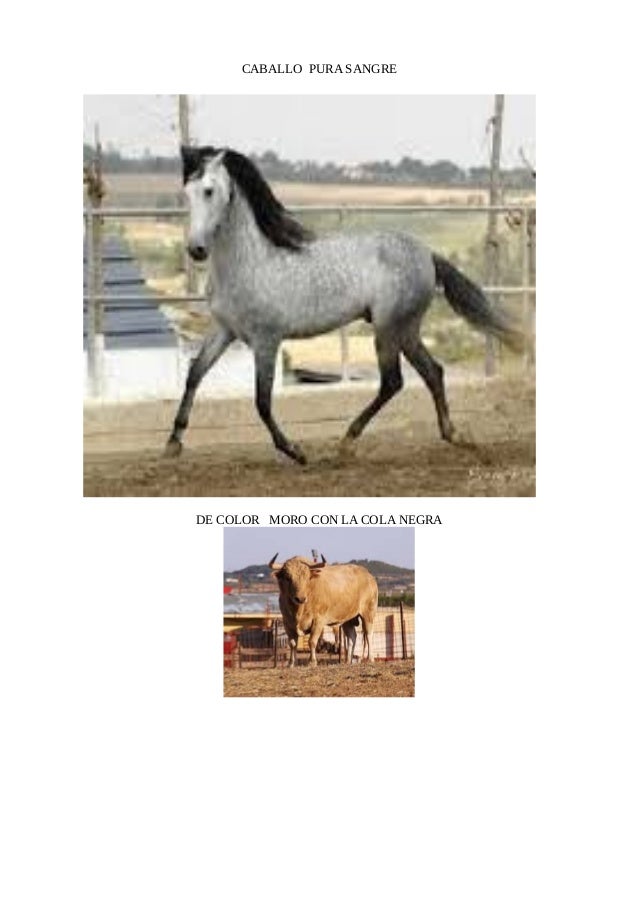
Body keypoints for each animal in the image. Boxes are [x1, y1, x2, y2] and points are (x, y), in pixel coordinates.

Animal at [165, 145, 523, 465]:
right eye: (187, 192)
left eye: (209, 191)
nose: (196, 249)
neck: (249, 263)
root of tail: (427, 254)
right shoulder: (225, 330)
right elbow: (194, 374)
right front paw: (173, 443)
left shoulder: (267, 340)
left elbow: (262, 402)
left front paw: (296, 451)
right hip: (405, 330)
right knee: (432, 372)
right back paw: (453, 435)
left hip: (388, 328)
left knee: (393, 381)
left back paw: (347, 442)